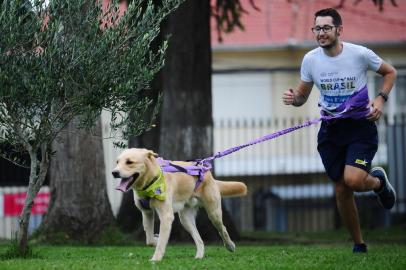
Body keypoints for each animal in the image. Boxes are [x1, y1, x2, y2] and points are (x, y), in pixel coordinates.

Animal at [112, 148, 249, 262]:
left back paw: (230, 245)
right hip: (185, 219)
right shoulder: (147, 213)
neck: (151, 182)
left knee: (223, 228)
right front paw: (155, 239)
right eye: (117, 162)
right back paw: (199, 257)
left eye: (129, 162)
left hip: (213, 213)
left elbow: (161, 242)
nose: (114, 172)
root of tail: (206, 171)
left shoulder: (166, 216)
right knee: (200, 240)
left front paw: (156, 259)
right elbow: (149, 240)